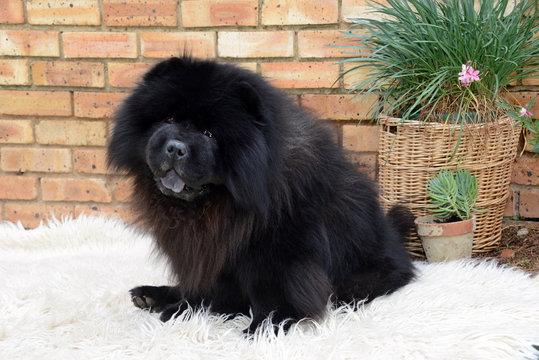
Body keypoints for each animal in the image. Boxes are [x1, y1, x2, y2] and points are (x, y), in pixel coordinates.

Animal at [107, 57, 416, 334]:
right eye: (169, 119)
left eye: (209, 134)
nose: (175, 147)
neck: (219, 204)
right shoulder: (213, 250)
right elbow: (205, 286)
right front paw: (183, 306)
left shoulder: (277, 254)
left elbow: (273, 292)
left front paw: (263, 327)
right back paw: (150, 295)